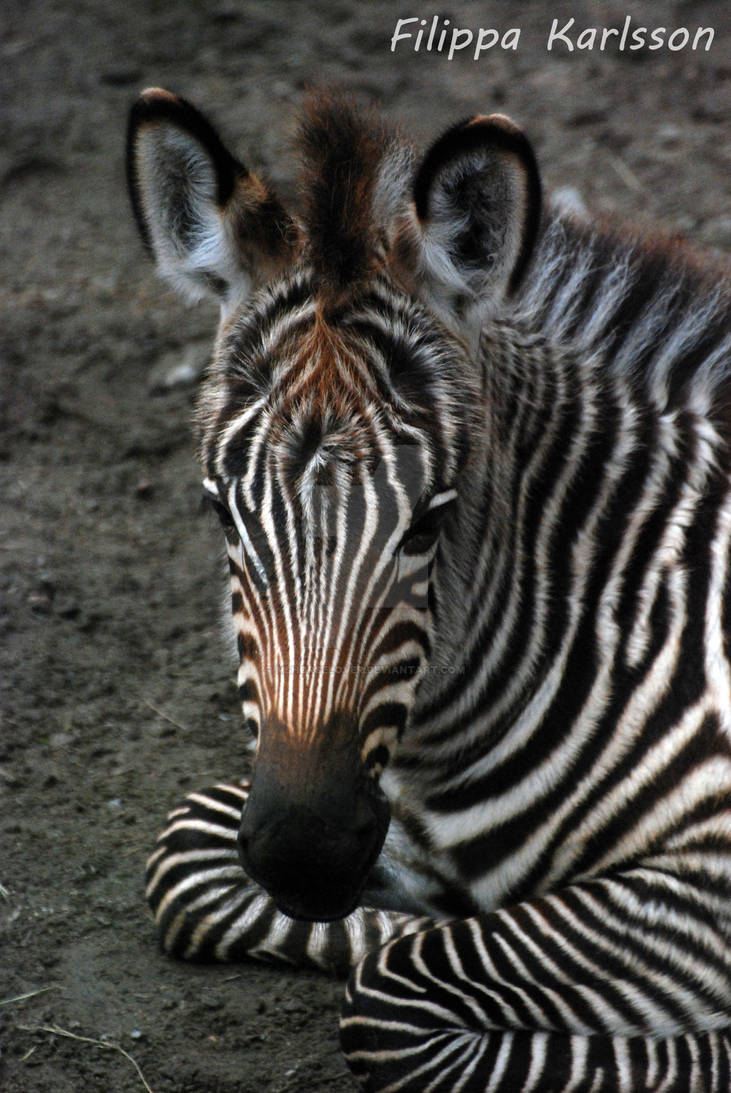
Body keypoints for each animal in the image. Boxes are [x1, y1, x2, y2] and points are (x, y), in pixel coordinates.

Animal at [128, 89, 725, 1088]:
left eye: (430, 520)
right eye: (220, 514)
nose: (303, 853)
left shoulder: (707, 878)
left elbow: (393, 988)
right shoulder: (376, 806)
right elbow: (186, 859)